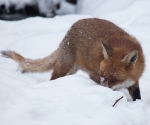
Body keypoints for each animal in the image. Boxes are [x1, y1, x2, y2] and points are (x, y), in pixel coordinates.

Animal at [0, 18, 145, 100]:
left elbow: (137, 95)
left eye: (114, 79)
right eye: (102, 75)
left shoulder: (134, 79)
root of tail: (69, 31)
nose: (102, 90)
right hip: (65, 69)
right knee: (53, 79)